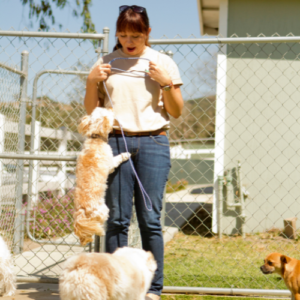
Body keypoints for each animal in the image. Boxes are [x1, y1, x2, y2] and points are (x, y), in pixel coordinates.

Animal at [74, 108, 130, 246]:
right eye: (107, 112)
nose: (110, 108)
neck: (96, 138)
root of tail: (82, 212)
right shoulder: (110, 162)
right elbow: (117, 160)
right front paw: (125, 155)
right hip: (103, 210)